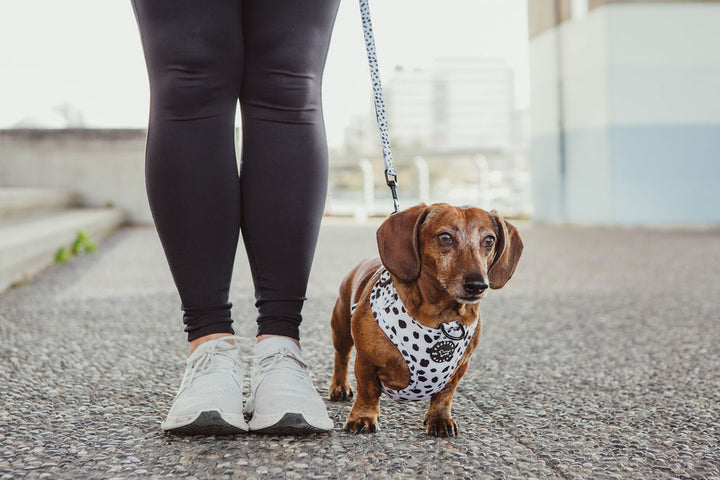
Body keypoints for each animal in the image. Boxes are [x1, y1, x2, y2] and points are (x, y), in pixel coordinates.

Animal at [328, 204, 524, 436]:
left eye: (489, 240)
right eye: (445, 238)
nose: (478, 285)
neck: (442, 317)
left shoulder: (459, 369)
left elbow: (444, 396)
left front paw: (440, 419)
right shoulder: (367, 362)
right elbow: (367, 392)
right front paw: (363, 418)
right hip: (341, 328)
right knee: (341, 357)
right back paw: (339, 386)